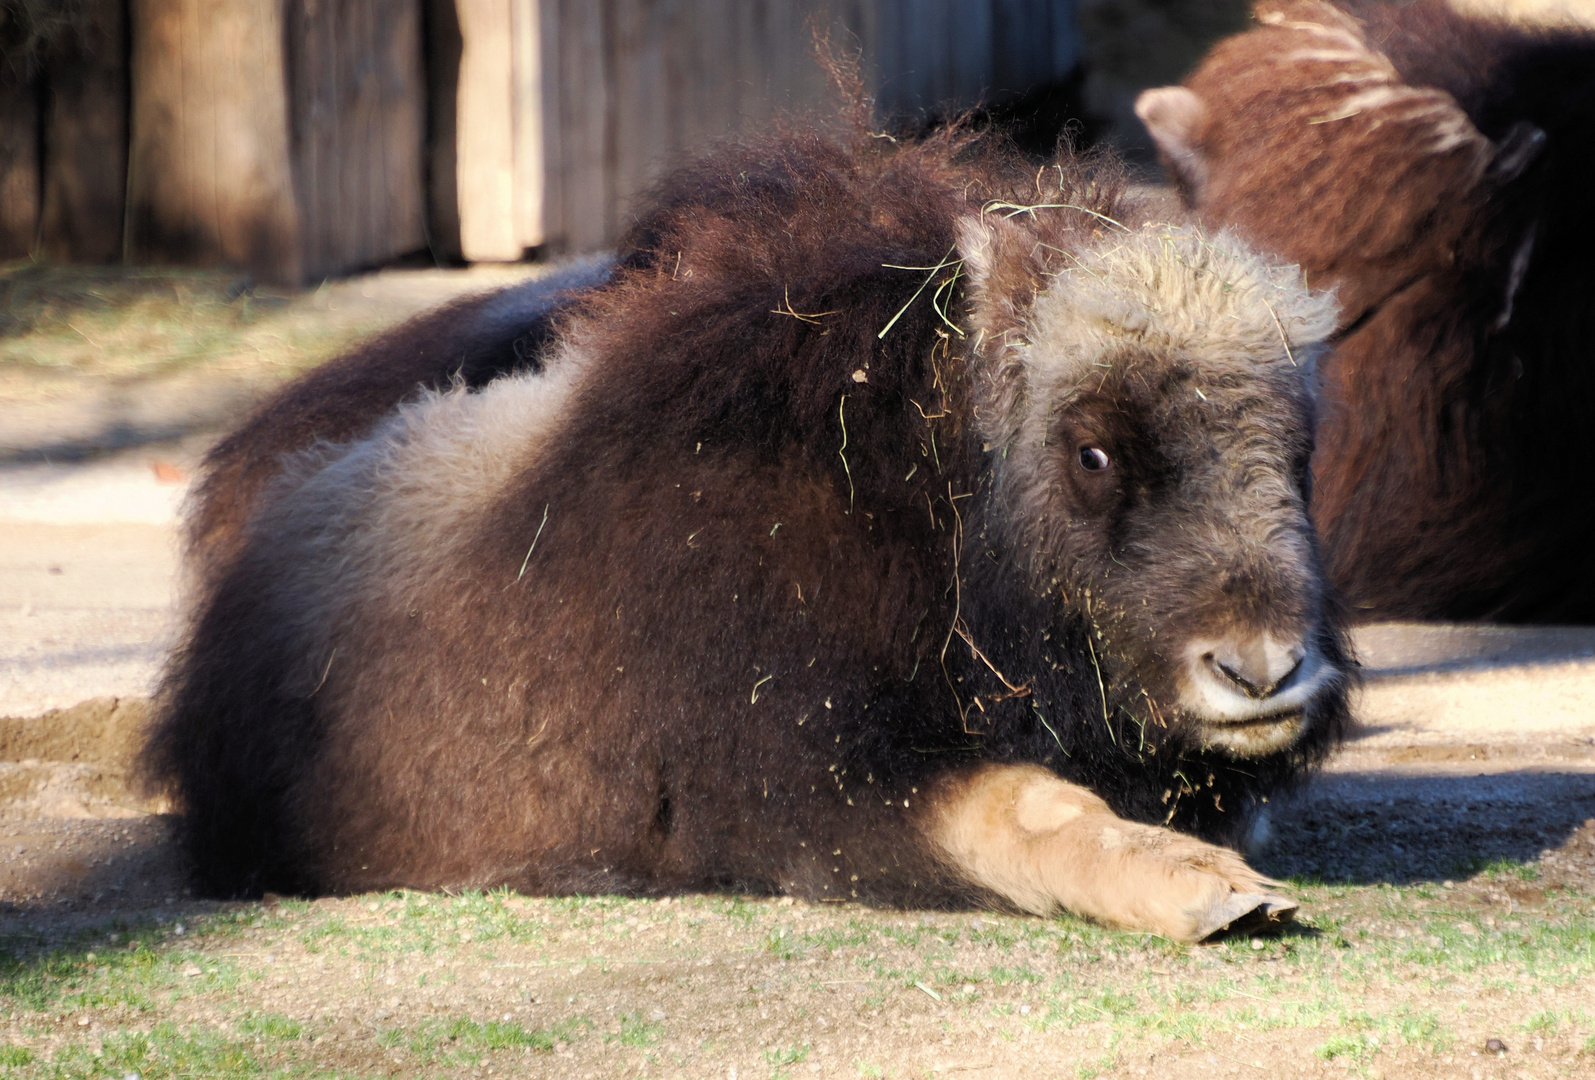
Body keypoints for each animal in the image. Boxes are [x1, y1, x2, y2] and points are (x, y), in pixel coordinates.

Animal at [146, 130, 1346, 938]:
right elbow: (1018, 803)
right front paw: (1215, 894)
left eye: (1299, 445)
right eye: (1092, 453)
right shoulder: (807, 777)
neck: (935, 506)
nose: (1261, 671)